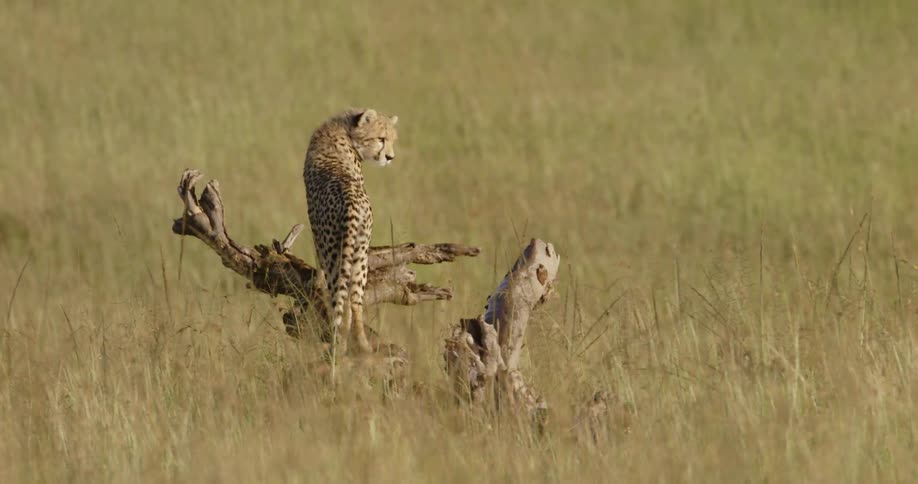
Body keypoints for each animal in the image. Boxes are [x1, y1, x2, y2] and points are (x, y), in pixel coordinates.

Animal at [302, 107, 399, 355]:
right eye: (381, 139)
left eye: (392, 140)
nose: (390, 157)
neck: (345, 128)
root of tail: (353, 203)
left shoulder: (318, 238)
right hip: (360, 250)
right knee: (355, 300)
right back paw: (362, 344)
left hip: (336, 252)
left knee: (341, 297)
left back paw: (341, 341)